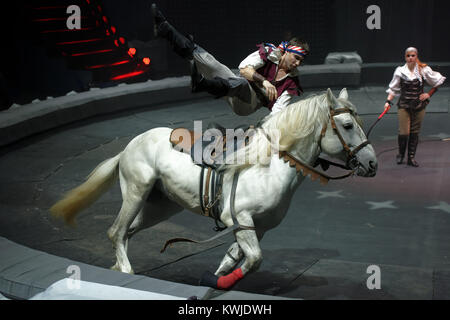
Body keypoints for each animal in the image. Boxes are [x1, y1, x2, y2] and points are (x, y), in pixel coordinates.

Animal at [51, 87, 378, 290]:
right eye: (347, 125)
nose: (372, 163)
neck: (269, 165)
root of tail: (130, 145)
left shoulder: (256, 228)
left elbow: (234, 259)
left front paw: (214, 279)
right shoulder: (241, 220)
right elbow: (254, 260)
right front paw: (219, 281)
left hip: (160, 206)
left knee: (126, 232)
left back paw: (117, 268)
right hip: (136, 191)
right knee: (116, 231)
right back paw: (125, 271)